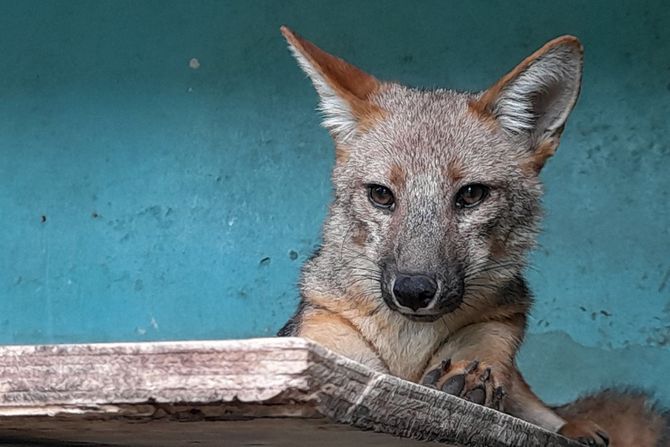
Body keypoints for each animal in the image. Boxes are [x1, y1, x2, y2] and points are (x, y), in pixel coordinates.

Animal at [276, 26, 668, 446]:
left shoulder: (501, 321)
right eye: (381, 195)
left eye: (471, 194)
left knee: (551, 414)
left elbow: (484, 352)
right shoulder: (324, 340)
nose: (413, 290)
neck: (409, 353)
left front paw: (468, 376)